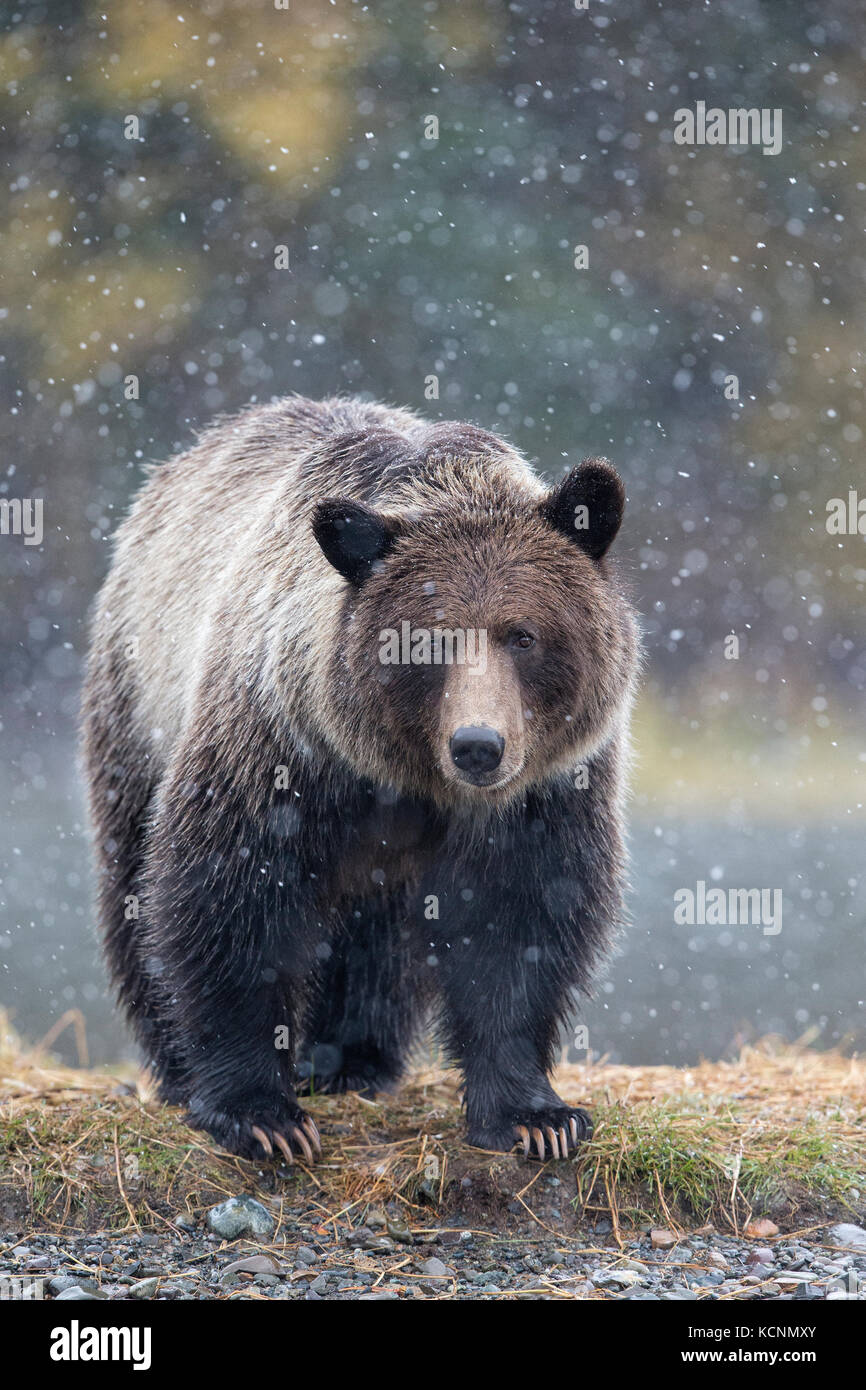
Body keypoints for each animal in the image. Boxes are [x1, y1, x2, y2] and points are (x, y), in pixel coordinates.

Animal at [81, 397, 639, 1167]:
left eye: (523, 635)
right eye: (428, 641)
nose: (479, 746)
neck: (406, 776)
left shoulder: (545, 790)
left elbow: (519, 922)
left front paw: (535, 1116)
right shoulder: (285, 751)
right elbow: (232, 900)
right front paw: (261, 1114)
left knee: (376, 937)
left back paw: (353, 1060)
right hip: (137, 701)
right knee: (134, 876)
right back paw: (178, 1063)